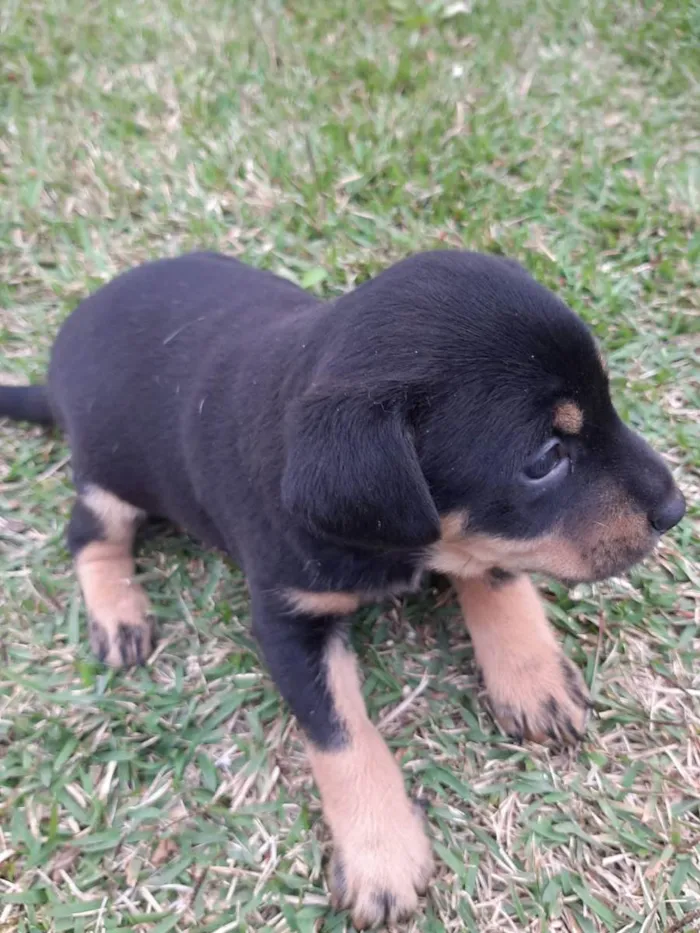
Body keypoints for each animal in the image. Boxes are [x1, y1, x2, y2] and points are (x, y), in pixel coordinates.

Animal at [0, 251, 688, 928]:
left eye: (609, 401)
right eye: (544, 459)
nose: (676, 508)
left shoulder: (488, 537)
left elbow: (495, 572)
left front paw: (532, 679)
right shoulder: (287, 621)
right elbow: (341, 735)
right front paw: (381, 856)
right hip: (107, 476)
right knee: (89, 534)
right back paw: (119, 615)